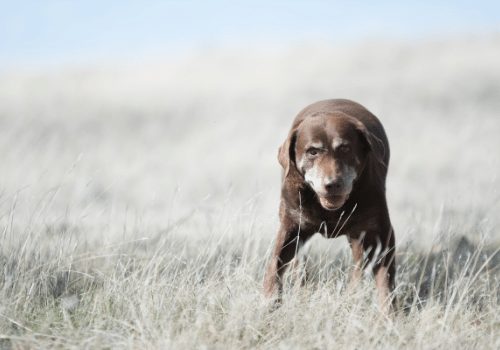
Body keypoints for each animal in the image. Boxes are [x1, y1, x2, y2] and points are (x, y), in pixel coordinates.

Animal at [264, 98, 396, 312]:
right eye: (312, 152)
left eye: (345, 149)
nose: (332, 184)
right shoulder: (291, 226)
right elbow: (275, 263)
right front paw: (270, 302)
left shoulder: (382, 233)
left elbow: (385, 279)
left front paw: (388, 314)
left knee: (358, 265)